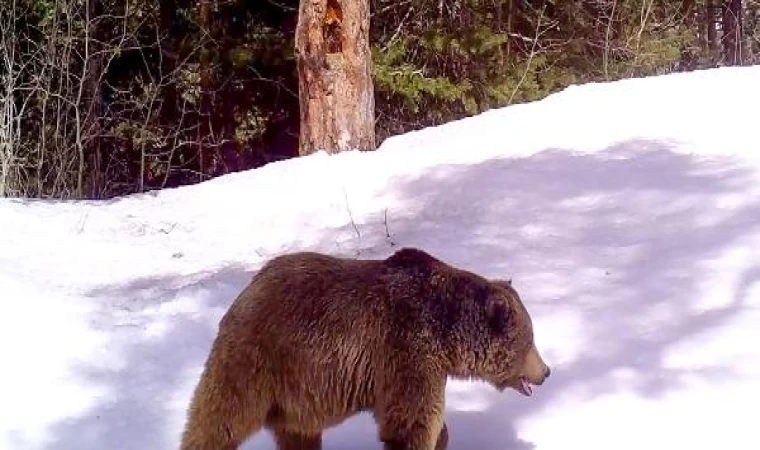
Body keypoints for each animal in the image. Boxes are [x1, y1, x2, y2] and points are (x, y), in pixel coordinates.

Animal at [181, 248, 548, 448]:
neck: (447, 332)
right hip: (259, 360)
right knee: (218, 420)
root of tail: (247, 288)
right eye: (530, 340)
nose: (546, 371)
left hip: (294, 392)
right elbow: (411, 425)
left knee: (297, 435)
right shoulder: (407, 351)